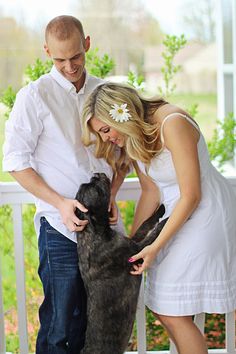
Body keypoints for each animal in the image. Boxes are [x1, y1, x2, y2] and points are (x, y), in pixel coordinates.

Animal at [75, 173, 168, 352]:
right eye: (96, 190)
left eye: (89, 183)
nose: (96, 174)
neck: (92, 234)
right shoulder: (137, 250)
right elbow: (154, 236)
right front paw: (167, 221)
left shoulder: (133, 240)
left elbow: (145, 224)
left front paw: (160, 210)